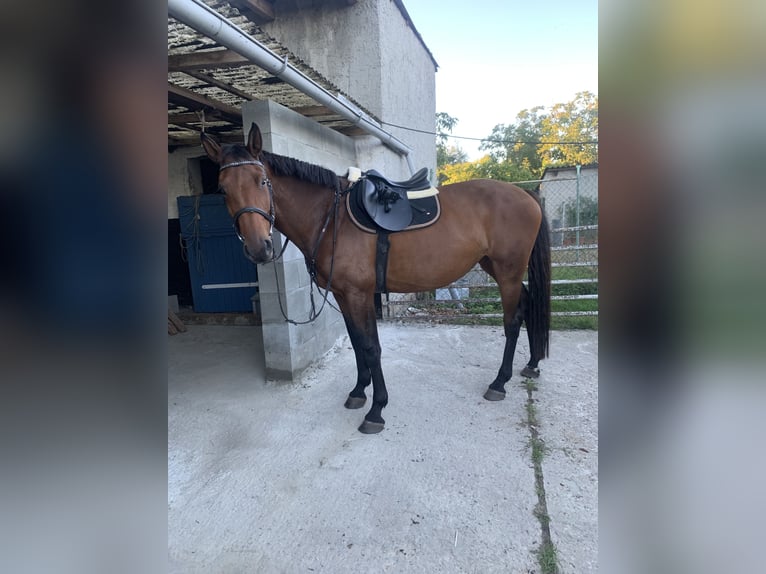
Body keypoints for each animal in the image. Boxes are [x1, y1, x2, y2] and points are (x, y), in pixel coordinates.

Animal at [200, 123, 551, 434]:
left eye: (262, 181)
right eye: (223, 190)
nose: (259, 248)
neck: (331, 219)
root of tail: (526, 194)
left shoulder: (359, 293)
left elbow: (371, 346)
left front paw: (376, 410)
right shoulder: (343, 294)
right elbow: (357, 343)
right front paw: (358, 392)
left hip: (507, 271)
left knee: (512, 320)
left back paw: (499, 382)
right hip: (495, 267)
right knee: (527, 303)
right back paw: (532, 364)